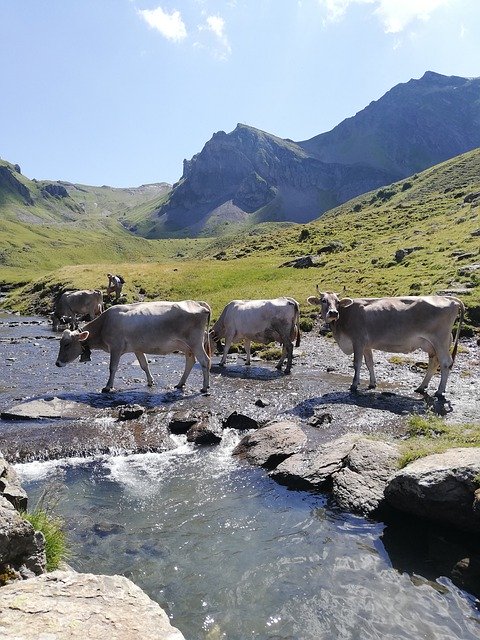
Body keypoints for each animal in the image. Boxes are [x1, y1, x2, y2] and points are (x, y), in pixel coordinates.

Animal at [55, 298, 211, 392]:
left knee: (205, 361)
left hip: (195, 342)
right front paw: (150, 382)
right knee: (190, 360)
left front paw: (108, 387)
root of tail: (198, 303)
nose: (57, 363)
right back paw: (180, 383)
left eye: (67, 344)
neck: (104, 324)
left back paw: (204, 387)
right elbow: (144, 365)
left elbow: (112, 367)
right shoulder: (137, 348)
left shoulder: (116, 348)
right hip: (186, 346)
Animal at [308, 288, 464, 398]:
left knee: (445, 362)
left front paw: (354, 385)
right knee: (434, 362)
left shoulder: (358, 341)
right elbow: (369, 363)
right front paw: (372, 383)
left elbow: (357, 363)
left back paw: (439, 391)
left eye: (338, 301)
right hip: (432, 344)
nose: (333, 313)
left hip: (440, 340)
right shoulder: (367, 345)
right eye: (323, 300)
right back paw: (421, 387)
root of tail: (449, 298)